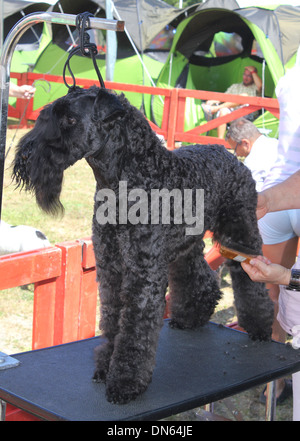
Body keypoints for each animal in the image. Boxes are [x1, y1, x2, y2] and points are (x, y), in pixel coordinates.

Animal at [12, 85, 274, 402]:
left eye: (70, 120)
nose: (25, 155)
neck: (127, 180)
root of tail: (230, 156)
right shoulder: (111, 268)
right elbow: (113, 319)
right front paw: (105, 366)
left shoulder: (143, 273)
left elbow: (135, 327)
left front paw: (125, 381)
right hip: (186, 247)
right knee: (198, 276)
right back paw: (191, 316)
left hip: (240, 237)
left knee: (250, 282)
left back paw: (260, 327)